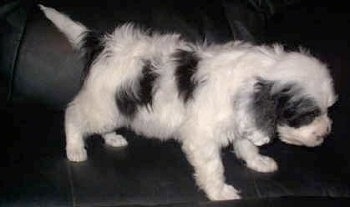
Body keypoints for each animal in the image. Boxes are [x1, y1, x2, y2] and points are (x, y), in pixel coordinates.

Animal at [39, 5, 338, 201]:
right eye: (307, 114)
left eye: (327, 109)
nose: (326, 132)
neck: (255, 80)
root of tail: (102, 43)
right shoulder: (202, 137)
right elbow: (214, 167)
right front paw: (220, 192)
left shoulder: (242, 119)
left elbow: (247, 145)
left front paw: (258, 162)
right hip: (102, 105)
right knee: (73, 115)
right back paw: (75, 148)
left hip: (114, 106)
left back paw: (112, 138)